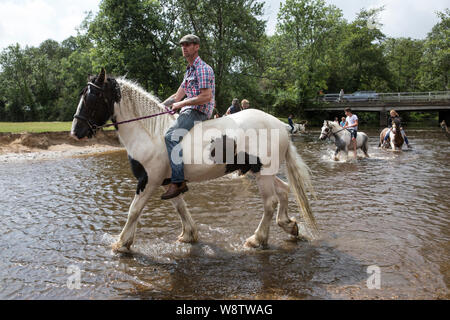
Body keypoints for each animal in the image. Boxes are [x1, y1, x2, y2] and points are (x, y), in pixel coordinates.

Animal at [71, 68, 320, 252]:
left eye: (93, 97)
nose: (76, 131)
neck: (150, 133)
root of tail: (281, 125)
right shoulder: (168, 181)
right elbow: (180, 206)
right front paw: (189, 235)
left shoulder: (148, 180)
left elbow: (134, 210)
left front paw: (122, 243)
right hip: (260, 170)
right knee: (284, 190)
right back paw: (289, 226)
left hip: (263, 173)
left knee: (270, 202)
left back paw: (257, 239)